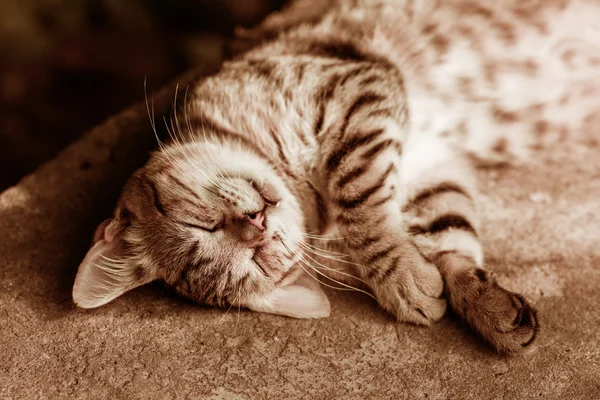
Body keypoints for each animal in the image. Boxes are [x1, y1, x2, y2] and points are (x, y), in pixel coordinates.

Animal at [71, 0, 600, 354]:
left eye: (201, 224)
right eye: (259, 262)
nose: (257, 225)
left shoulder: (352, 90)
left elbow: (359, 200)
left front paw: (401, 276)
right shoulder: (428, 168)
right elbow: (450, 238)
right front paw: (482, 305)